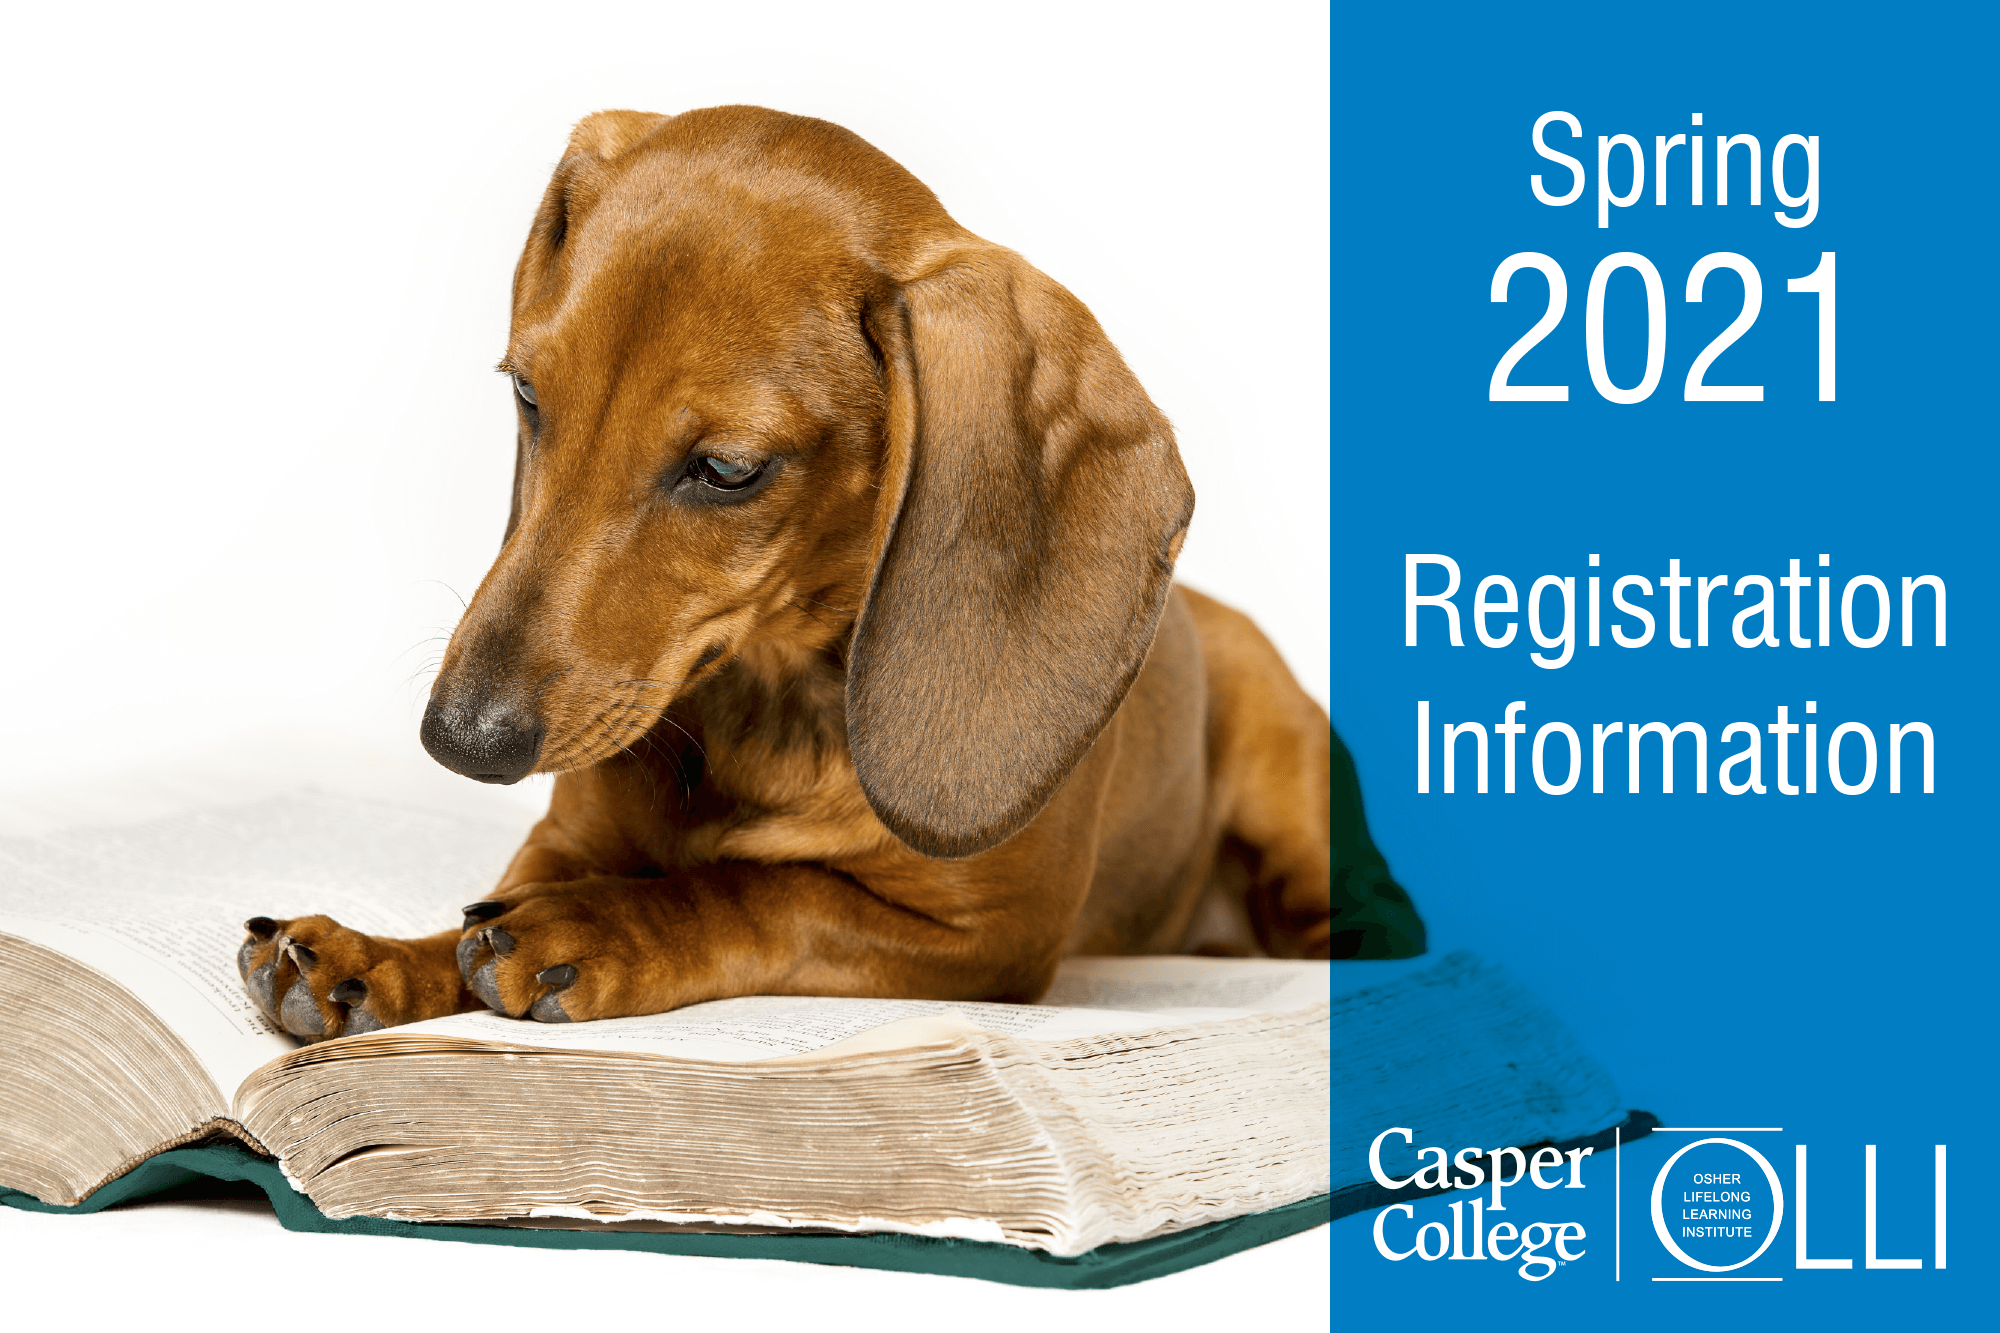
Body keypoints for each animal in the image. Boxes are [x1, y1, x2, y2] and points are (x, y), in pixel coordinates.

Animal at [238, 106, 1424, 1040]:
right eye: (528, 394)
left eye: (727, 470)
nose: (460, 739)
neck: (768, 712)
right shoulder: (562, 839)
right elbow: (480, 913)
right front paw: (378, 959)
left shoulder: (981, 940)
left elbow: (761, 895)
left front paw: (602, 924)